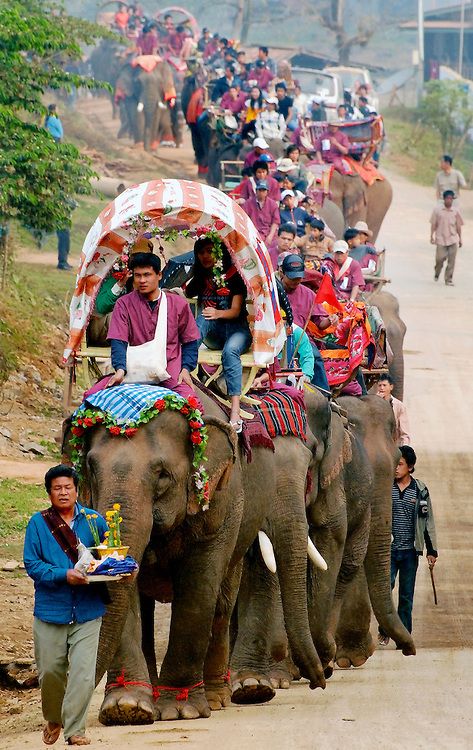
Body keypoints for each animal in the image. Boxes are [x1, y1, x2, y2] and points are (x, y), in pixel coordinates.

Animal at [64, 390, 326, 724]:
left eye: (162, 475)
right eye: (91, 468)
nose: (320, 680)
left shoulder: (217, 506)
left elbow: (199, 586)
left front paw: (180, 710)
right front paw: (126, 707)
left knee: (222, 603)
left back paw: (219, 697)